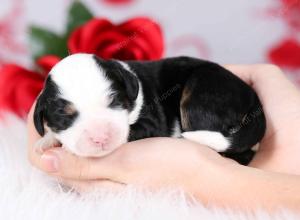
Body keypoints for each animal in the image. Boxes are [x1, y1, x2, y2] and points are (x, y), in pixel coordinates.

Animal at [34, 52, 266, 163]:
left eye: (114, 102)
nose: (100, 138)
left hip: (200, 91)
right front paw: (47, 140)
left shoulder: (152, 122)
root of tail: (255, 105)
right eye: (65, 117)